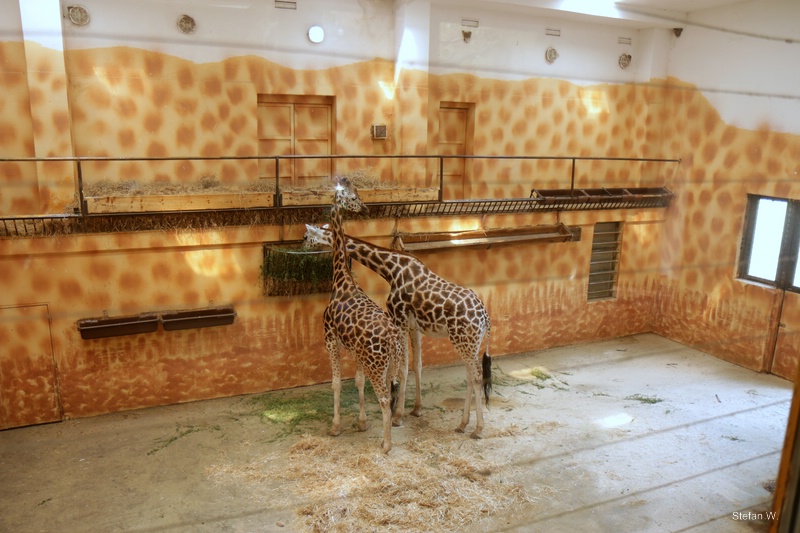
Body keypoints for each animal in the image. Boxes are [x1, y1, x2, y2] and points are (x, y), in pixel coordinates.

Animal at [304, 224, 492, 439]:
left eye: (305, 236)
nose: (303, 248)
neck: (391, 269)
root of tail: (485, 317)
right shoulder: (414, 326)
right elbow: (417, 365)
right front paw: (416, 409)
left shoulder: (399, 320)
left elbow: (402, 368)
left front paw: (398, 416)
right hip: (469, 344)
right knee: (470, 376)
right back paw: (462, 424)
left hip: (464, 343)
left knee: (476, 377)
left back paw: (478, 429)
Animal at [322, 176, 406, 454]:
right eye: (354, 196)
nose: (365, 208)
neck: (341, 279)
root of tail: (393, 340)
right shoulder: (357, 351)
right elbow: (357, 382)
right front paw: (361, 423)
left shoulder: (330, 339)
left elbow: (336, 383)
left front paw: (335, 427)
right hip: (389, 365)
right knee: (392, 391)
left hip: (376, 364)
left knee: (384, 398)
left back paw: (386, 445)